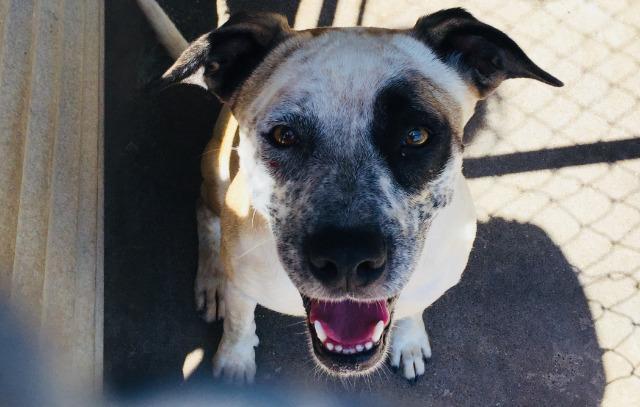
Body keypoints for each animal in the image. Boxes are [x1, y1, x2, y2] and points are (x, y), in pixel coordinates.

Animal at [139, 1, 560, 384]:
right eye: (284, 135)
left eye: (416, 135)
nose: (347, 261)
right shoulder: (242, 288)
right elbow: (240, 325)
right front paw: (234, 361)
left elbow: (414, 307)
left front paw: (409, 340)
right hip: (215, 174)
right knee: (204, 215)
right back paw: (212, 280)